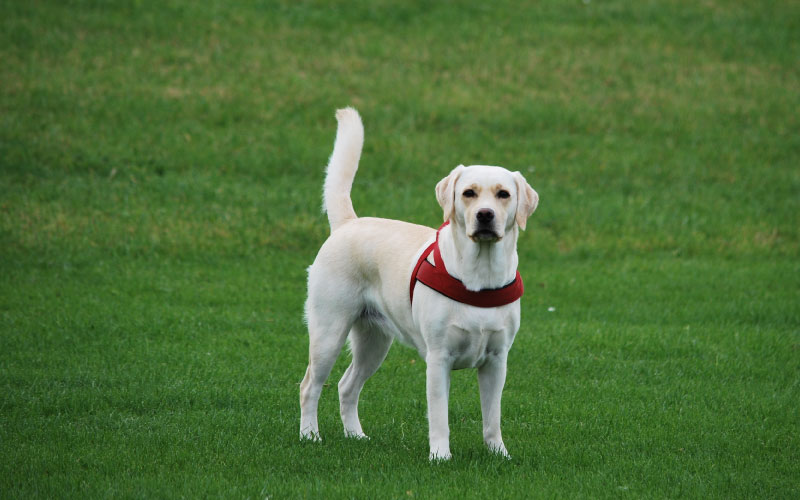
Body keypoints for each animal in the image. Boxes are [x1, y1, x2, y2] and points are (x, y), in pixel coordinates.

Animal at [298, 107, 536, 458]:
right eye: (469, 193)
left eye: (503, 194)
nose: (485, 215)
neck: (480, 275)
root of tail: (348, 223)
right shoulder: (438, 359)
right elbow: (439, 416)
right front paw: (440, 456)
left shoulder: (497, 361)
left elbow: (492, 417)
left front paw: (499, 454)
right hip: (328, 333)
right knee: (310, 386)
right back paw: (310, 436)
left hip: (373, 342)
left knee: (346, 385)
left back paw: (356, 436)